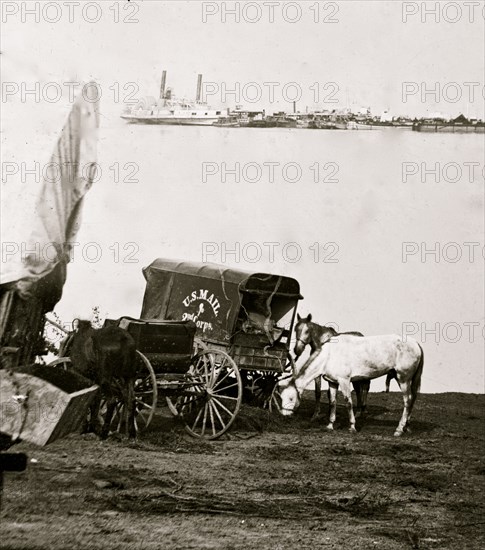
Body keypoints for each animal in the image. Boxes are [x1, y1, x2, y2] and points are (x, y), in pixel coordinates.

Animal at [278, 334, 422, 438]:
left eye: (291, 398)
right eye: (281, 398)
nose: (285, 415)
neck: (330, 355)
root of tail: (416, 343)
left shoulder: (344, 381)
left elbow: (348, 403)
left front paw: (352, 427)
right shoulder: (333, 382)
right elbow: (333, 403)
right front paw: (330, 425)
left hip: (403, 379)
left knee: (407, 401)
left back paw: (399, 429)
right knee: (412, 399)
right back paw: (406, 426)